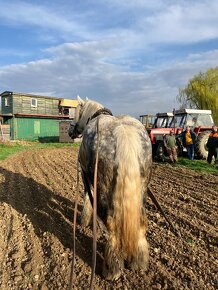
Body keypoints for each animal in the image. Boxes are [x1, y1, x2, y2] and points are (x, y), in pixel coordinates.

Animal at [69, 97, 152, 280]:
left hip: (104, 183)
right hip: (142, 186)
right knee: (141, 220)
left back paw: (112, 268)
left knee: (111, 224)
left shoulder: (86, 174)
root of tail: (122, 132)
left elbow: (88, 197)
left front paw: (84, 220)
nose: (70, 131)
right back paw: (139, 261)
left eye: (76, 112)